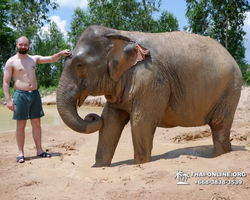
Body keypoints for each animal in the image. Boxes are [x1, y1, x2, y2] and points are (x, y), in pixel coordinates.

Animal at [56, 25, 242, 167]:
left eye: (80, 65)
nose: (90, 116)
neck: (118, 33)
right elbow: (109, 122)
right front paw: (99, 167)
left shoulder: (150, 79)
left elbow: (141, 122)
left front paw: (141, 164)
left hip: (230, 90)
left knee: (219, 125)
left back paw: (219, 156)